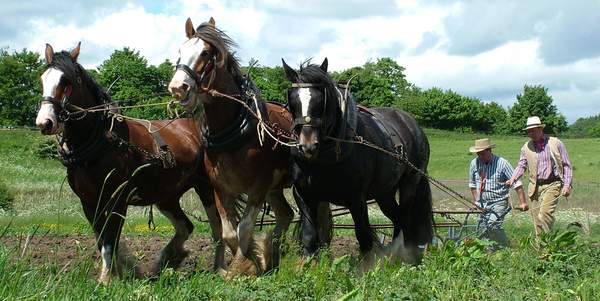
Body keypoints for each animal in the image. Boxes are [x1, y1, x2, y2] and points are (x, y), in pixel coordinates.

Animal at [35, 42, 231, 284]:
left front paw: (107, 279)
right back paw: (166, 260)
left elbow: (111, 239)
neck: (99, 141)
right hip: (166, 196)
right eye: (43, 79)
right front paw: (119, 271)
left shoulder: (117, 200)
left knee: (217, 228)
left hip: (206, 188)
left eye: (66, 81)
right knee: (186, 226)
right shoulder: (89, 202)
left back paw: (219, 267)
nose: (44, 122)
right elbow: (101, 239)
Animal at [166, 17, 330, 276]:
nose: (177, 87)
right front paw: (248, 261)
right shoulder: (220, 188)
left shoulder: (257, 188)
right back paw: (270, 256)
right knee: (285, 215)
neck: (232, 132)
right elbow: (229, 232)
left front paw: (243, 267)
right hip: (274, 189)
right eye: (180, 51)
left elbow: (243, 228)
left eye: (205, 53)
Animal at [282, 58, 432, 268]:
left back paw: (408, 260)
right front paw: (308, 265)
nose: (308, 146)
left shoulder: (356, 198)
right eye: (292, 99)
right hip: (384, 193)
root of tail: (412, 124)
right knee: (397, 218)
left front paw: (367, 268)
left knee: (406, 218)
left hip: (410, 182)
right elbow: (309, 234)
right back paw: (393, 257)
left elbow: (363, 235)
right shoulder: (303, 194)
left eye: (322, 98)